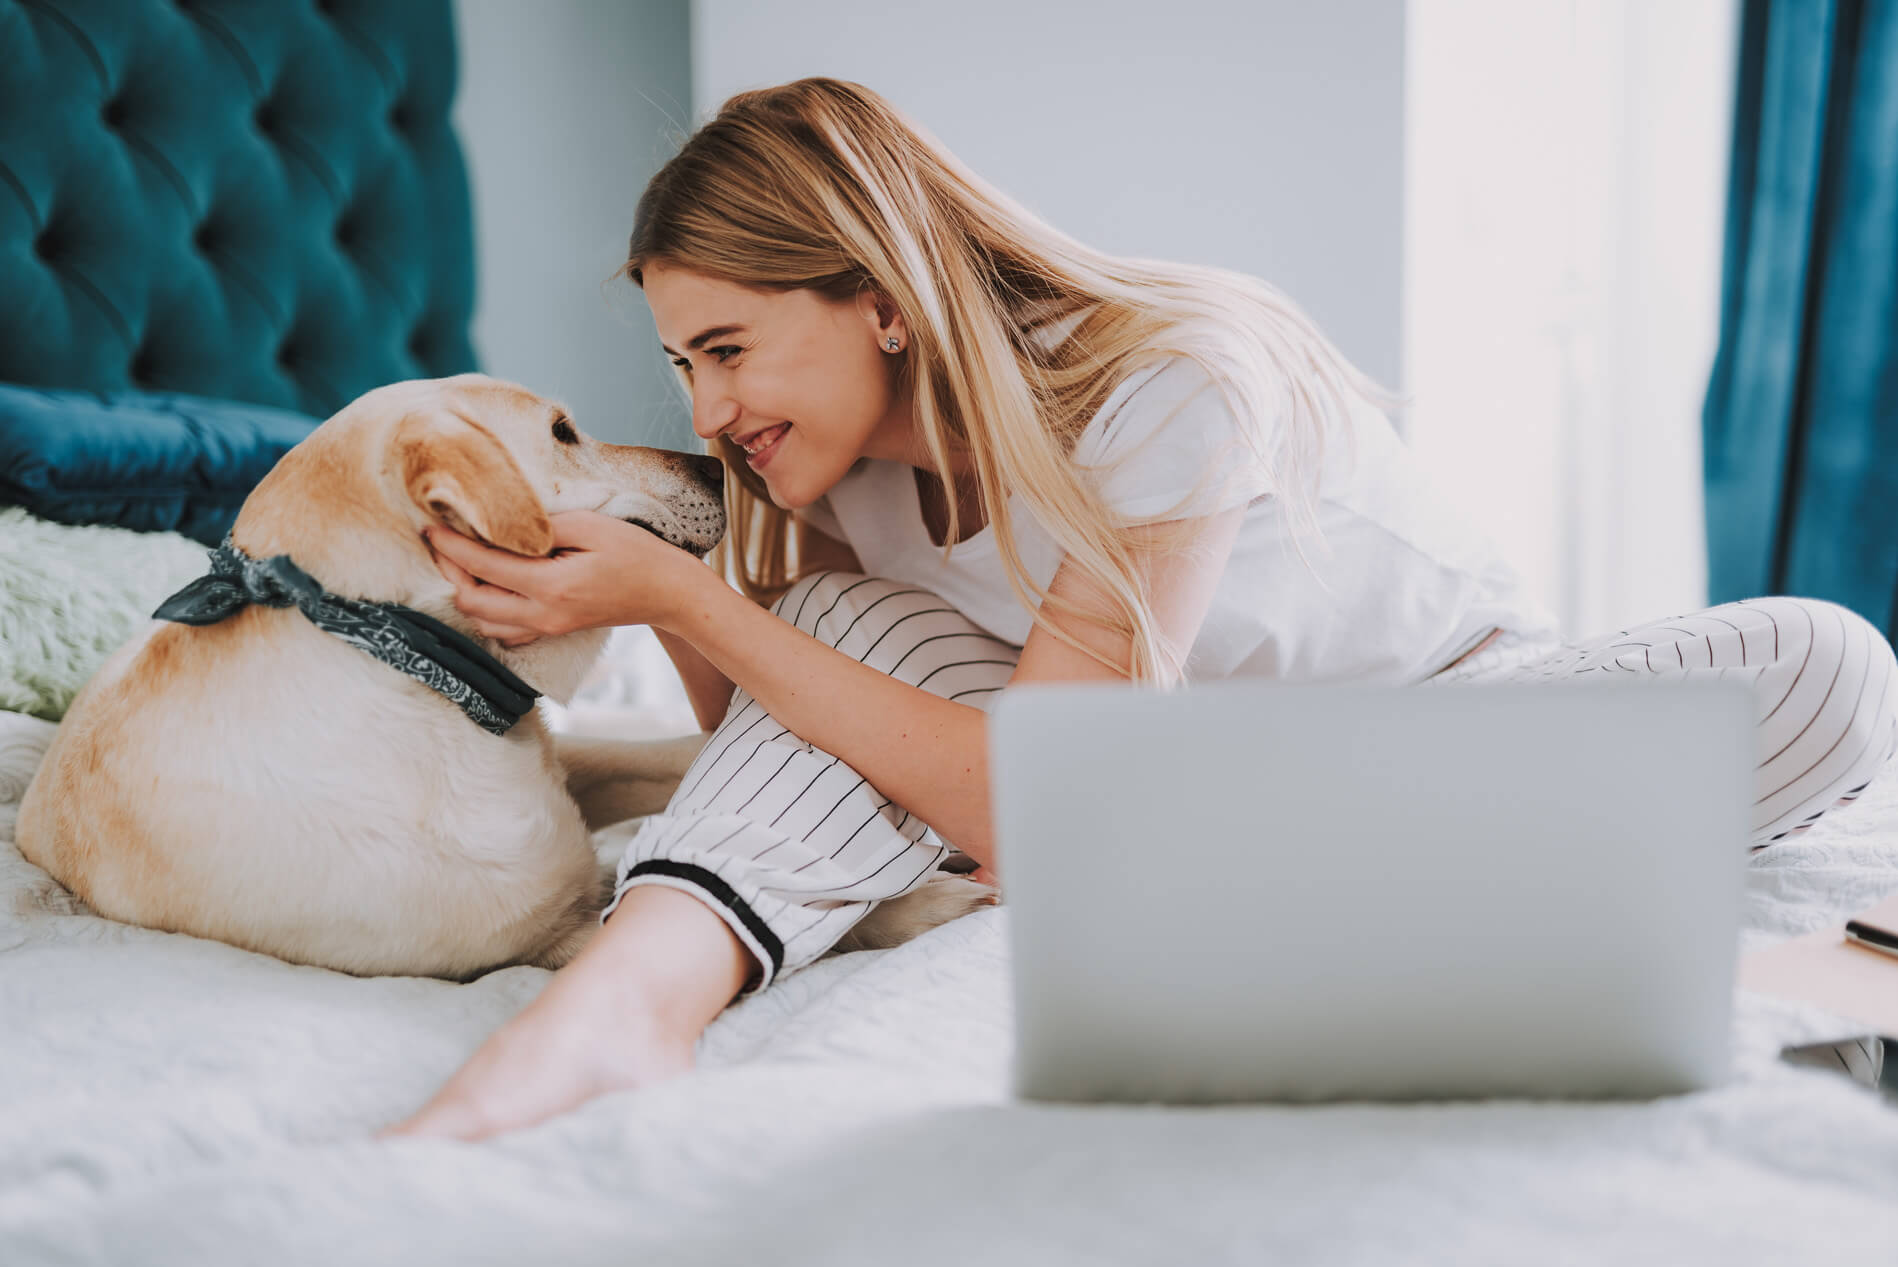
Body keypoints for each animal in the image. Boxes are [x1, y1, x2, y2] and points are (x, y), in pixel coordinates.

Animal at [14, 375, 986, 978]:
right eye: (561, 432)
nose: (716, 462)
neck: (401, 659)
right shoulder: (550, 936)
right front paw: (932, 903)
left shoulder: (563, 765)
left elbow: (678, 753)